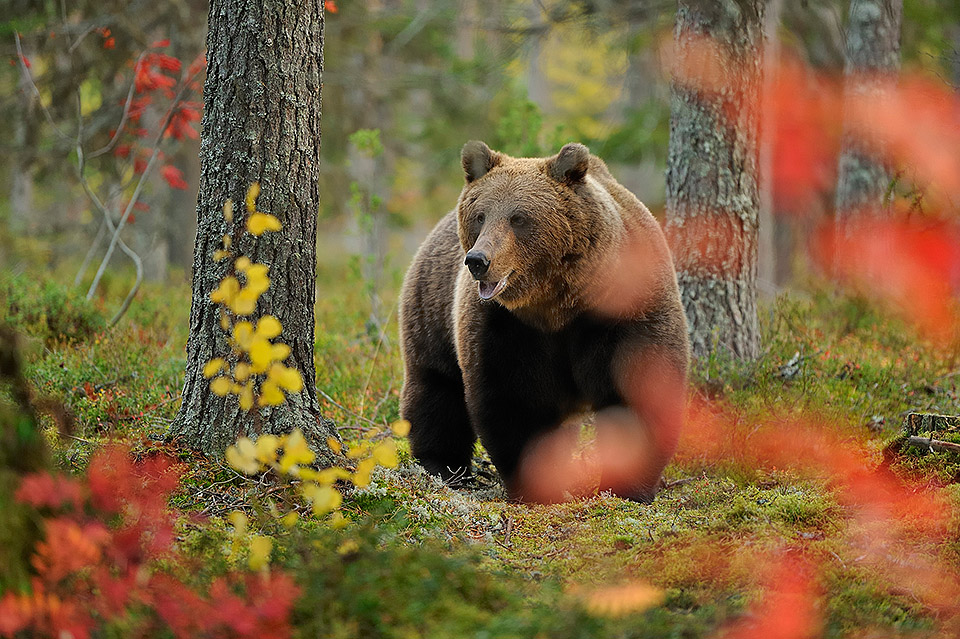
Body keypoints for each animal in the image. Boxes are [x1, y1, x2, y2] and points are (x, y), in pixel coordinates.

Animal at [400, 141, 688, 504]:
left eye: (518, 218)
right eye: (480, 215)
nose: (478, 260)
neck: (558, 304)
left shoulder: (627, 310)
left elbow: (638, 389)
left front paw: (629, 487)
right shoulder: (506, 326)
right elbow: (516, 401)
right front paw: (538, 485)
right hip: (431, 309)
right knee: (437, 389)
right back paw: (443, 467)